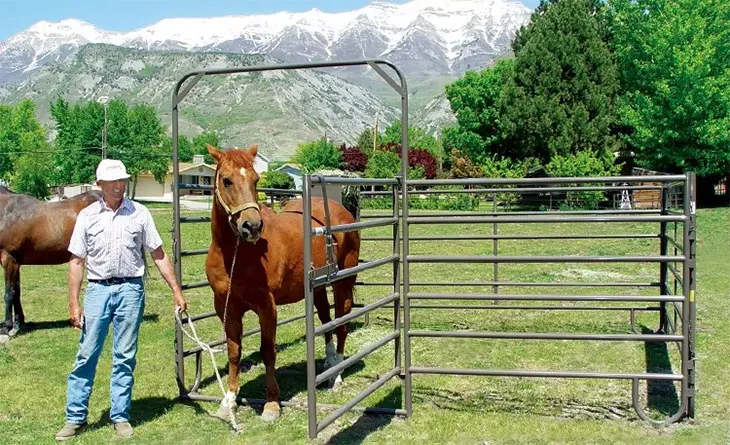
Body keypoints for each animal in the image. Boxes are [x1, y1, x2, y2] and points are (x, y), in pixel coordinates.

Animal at [0, 187, 102, 337]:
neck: (7, 211)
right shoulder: (16, 262)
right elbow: (16, 293)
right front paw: (19, 324)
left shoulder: (8, 259)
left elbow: (9, 294)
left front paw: (7, 327)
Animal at [204, 144, 361, 422]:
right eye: (227, 180)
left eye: (256, 179)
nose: (252, 226)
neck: (235, 254)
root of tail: (343, 212)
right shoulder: (226, 307)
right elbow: (234, 352)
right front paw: (229, 401)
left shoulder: (267, 307)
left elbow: (268, 351)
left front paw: (271, 404)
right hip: (318, 287)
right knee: (326, 321)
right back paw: (330, 363)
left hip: (342, 283)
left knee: (341, 325)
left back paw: (337, 376)